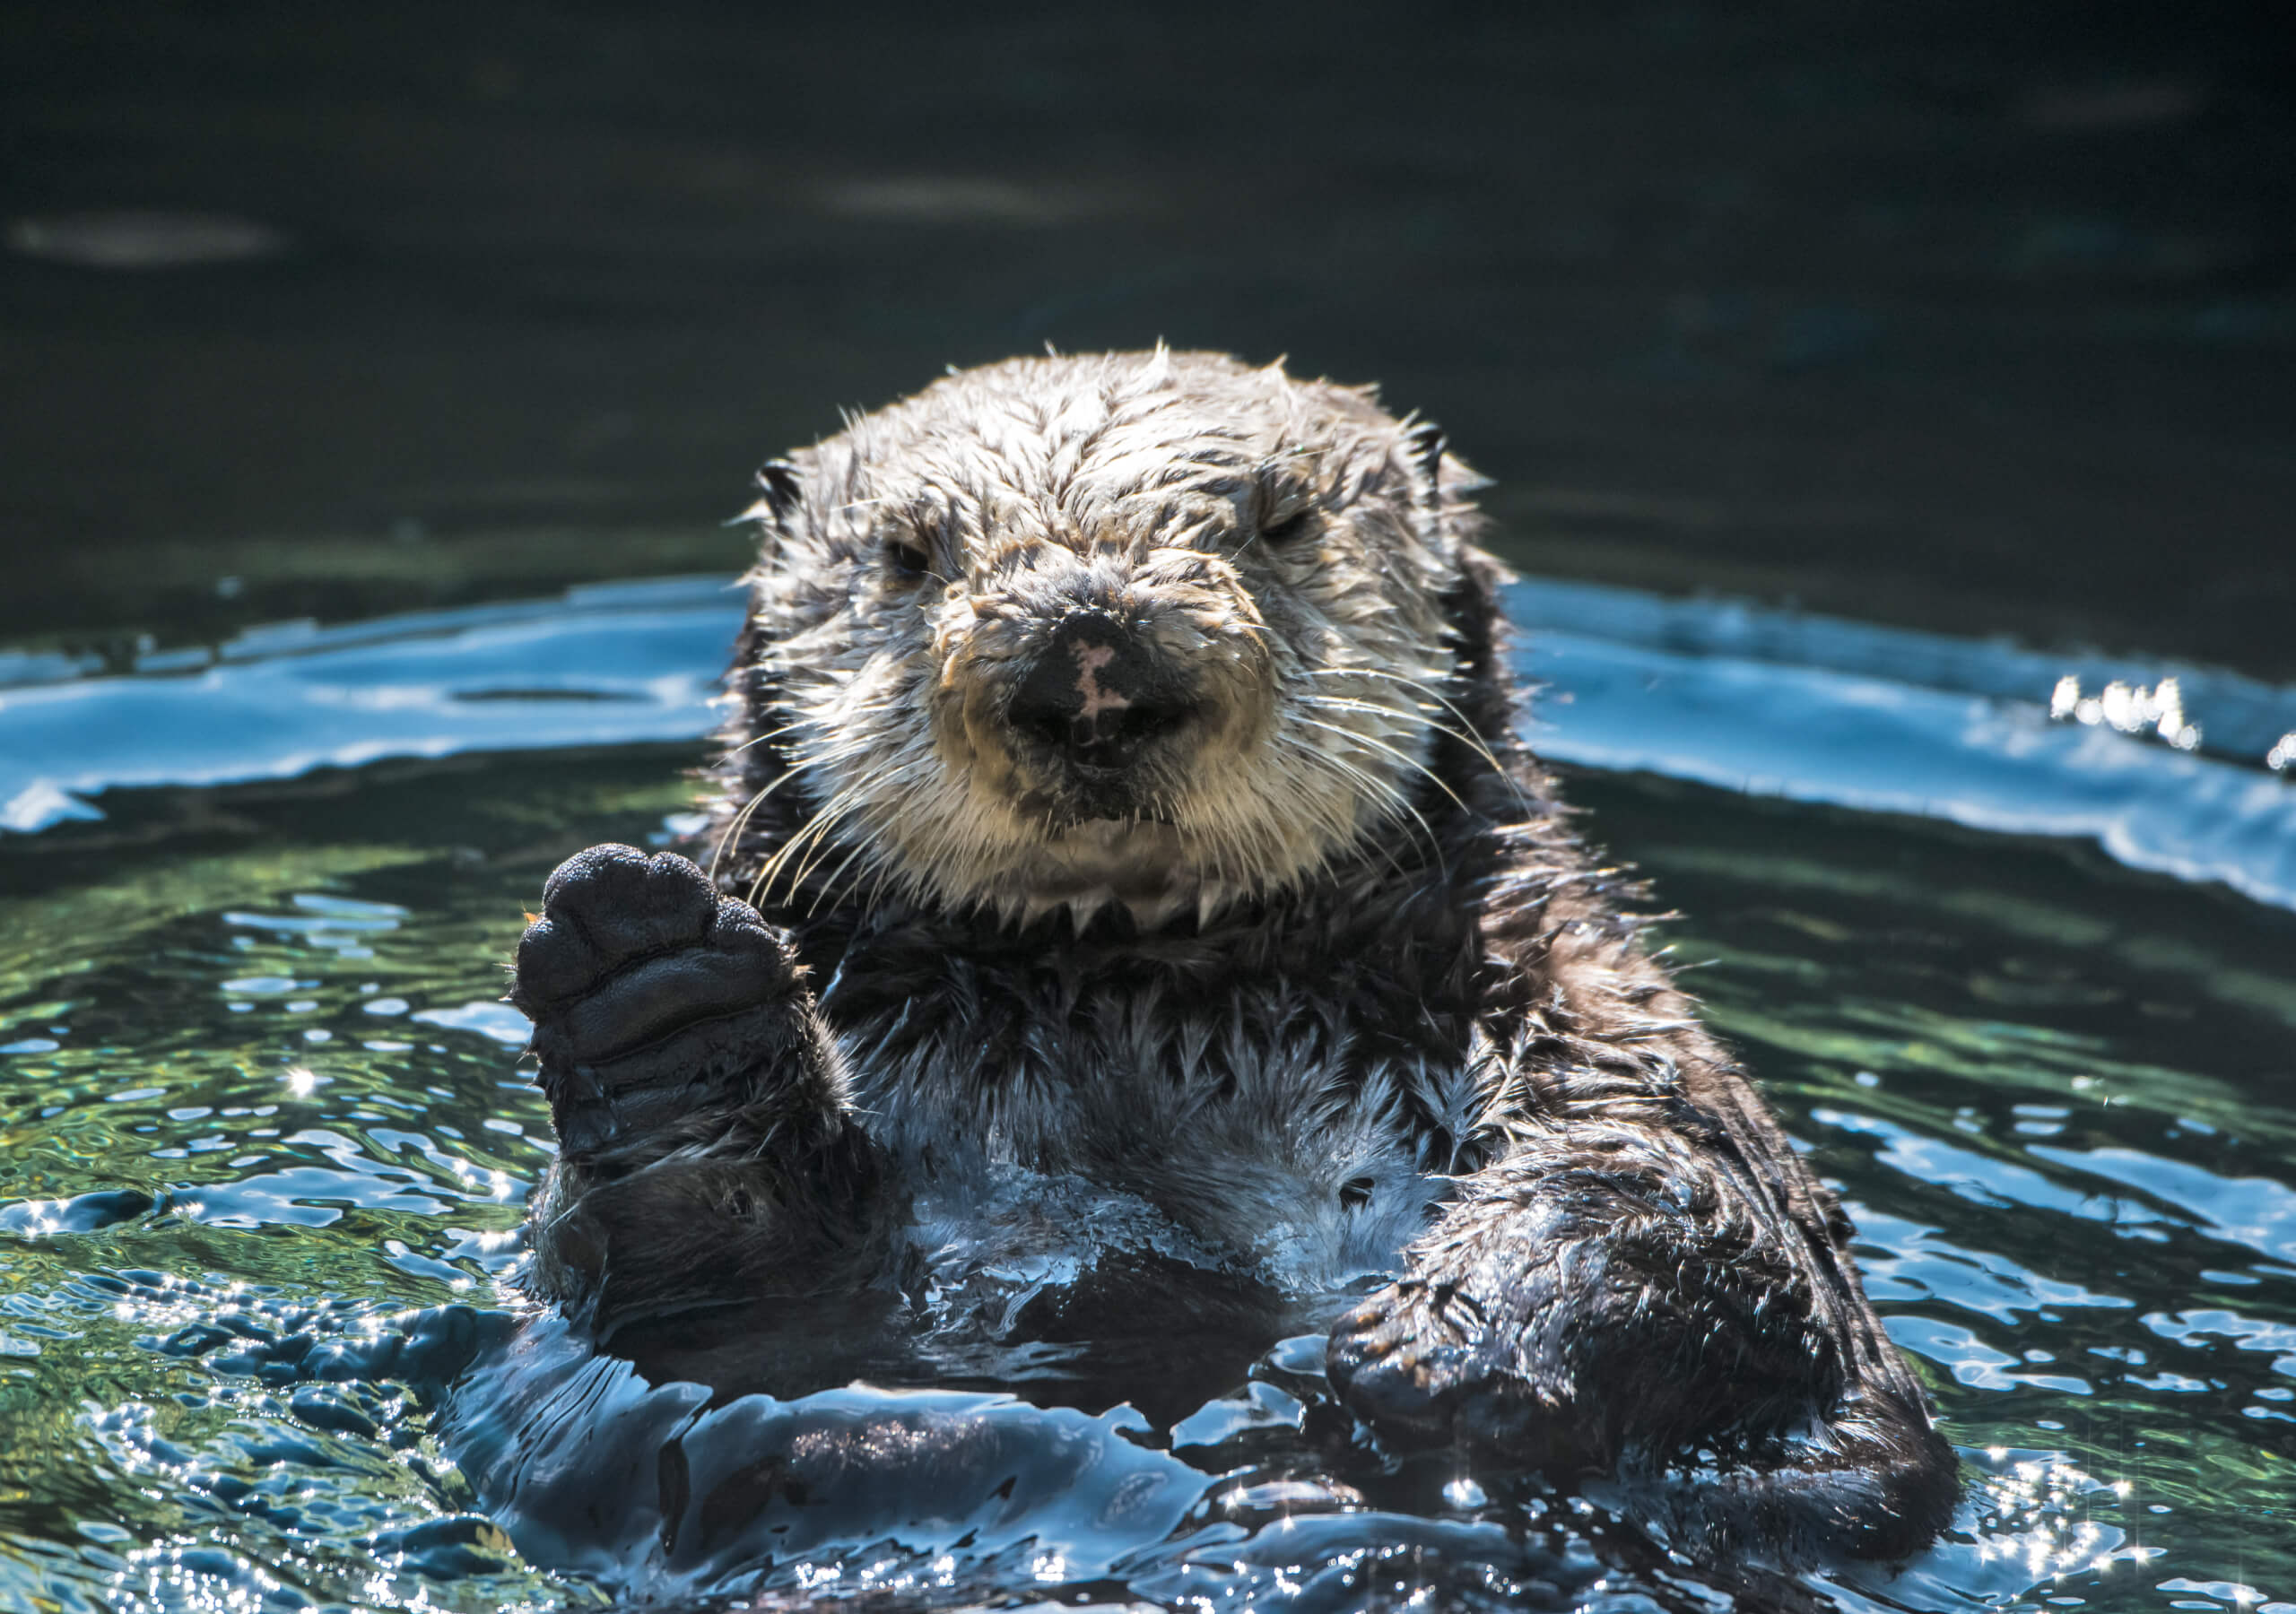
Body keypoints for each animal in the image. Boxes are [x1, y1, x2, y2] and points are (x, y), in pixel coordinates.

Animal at [502, 344, 1956, 1561]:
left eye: (1287, 520)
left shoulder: (1586, 1006)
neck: (1138, 989)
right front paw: (658, 997)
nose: (1087, 647)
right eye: (907, 553)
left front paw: (1444, 1344)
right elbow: (687, 1287)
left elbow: (1689, 1198)